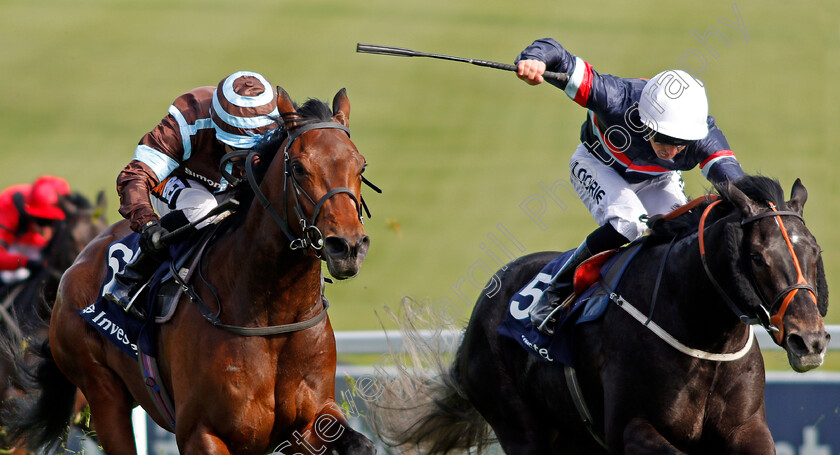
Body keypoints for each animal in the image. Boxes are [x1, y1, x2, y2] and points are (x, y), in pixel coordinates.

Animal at [2, 89, 378, 455]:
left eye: (361, 165)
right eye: (298, 167)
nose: (348, 246)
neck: (273, 317)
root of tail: (75, 268)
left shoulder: (309, 421)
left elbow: (359, 443)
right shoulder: (202, 432)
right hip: (101, 394)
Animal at [372, 176, 828, 454]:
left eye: (814, 251)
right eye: (757, 257)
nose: (810, 340)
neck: (703, 337)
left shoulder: (747, 429)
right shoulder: (630, 429)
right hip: (518, 425)